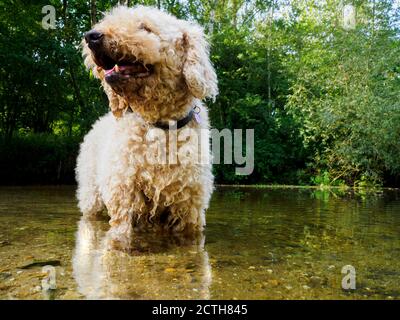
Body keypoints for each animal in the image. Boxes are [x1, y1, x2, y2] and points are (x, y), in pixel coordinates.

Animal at [75, 5, 219, 240]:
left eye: (145, 27)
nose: (91, 36)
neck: (159, 126)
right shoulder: (123, 198)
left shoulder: (190, 208)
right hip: (91, 198)